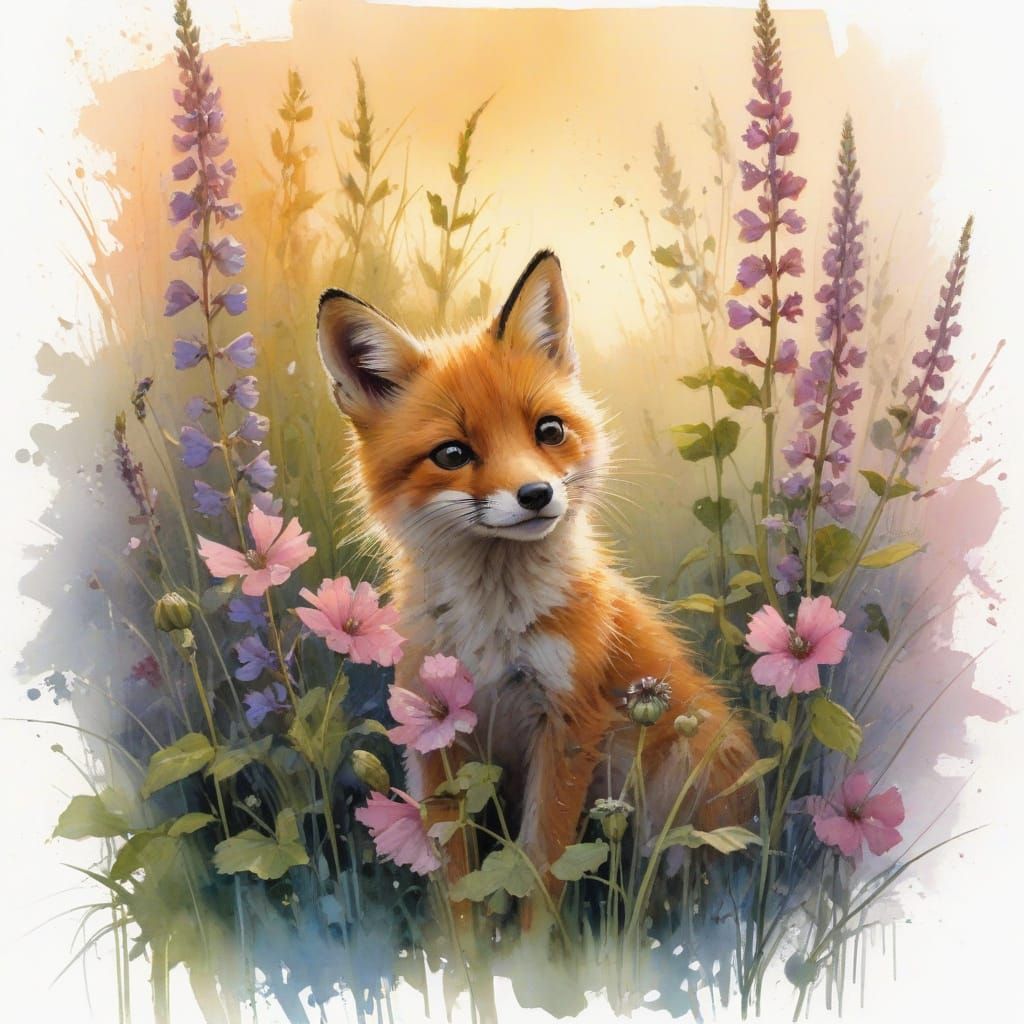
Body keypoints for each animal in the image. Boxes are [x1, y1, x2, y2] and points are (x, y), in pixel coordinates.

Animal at [315, 250, 758, 901]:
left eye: (549, 431)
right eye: (452, 454)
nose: (536, 494)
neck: (494, 627)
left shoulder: (569, 721)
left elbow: (540, 868)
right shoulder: (435, 729)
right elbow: (456, 882)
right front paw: (465, 932)